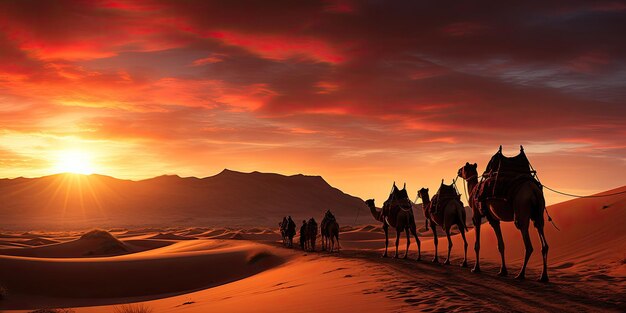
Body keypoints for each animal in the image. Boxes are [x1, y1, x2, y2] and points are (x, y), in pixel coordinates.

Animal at [456, 146, 548, 280]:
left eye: (464, 167)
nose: (458, 171)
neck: (474, 191)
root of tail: (533, 190)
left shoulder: (476, 215)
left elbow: (477, 244)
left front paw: (475, 268)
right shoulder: (494, 219)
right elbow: (501, 245)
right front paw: (503, 271)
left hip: (521, 209)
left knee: (528, 245)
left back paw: (520, 275)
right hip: (538, 212)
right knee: (543, 241)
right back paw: (543, 276)